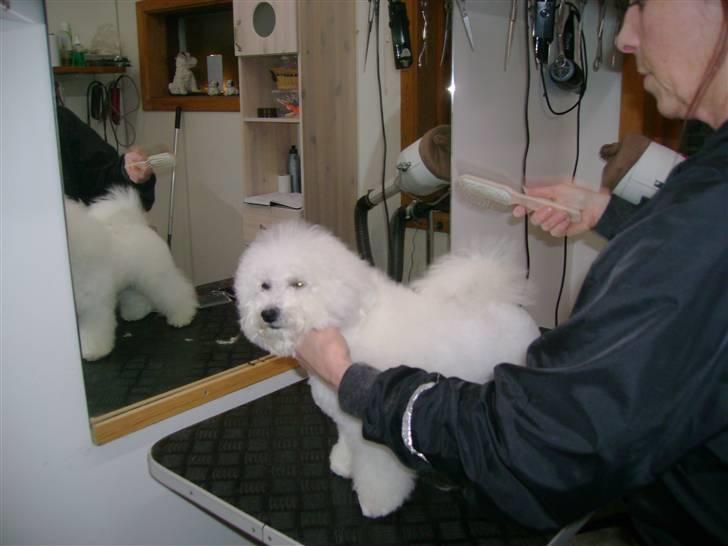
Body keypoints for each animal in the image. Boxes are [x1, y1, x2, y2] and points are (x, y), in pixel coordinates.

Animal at [63, 187, 196, 362]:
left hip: (158, 277)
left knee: (176, 293)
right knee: (137, 297)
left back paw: (182, 316)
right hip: (133, 282)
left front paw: (93, 351)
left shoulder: (93, 306)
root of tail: (138, 223)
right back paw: (136, 314)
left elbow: (94, 331)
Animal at [233, 220, 540, 516]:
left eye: (298, 284)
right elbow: (347, 444)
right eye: (264, 286)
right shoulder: (346, 421)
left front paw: (377, 503)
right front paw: (344, 464)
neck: (352, 323)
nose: (268, 313)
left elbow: (379, 473)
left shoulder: (374, 435)